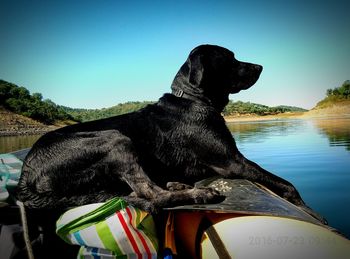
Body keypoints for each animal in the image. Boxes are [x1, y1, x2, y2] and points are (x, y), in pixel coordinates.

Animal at [16, 44, 322, 221]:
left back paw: (179, 185)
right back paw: (199, 195)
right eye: (230, 58)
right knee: (150, 192)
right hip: (115, 139)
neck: (195, 100)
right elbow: (286, 184)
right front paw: (311, 212)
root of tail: (25, 178)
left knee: (141, 191)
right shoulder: (232, 162)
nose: (260, 66)